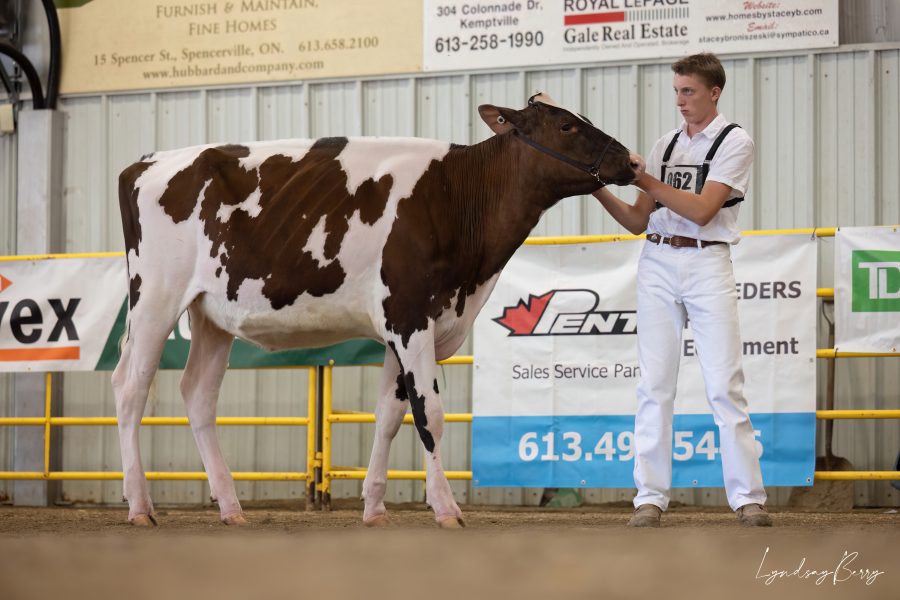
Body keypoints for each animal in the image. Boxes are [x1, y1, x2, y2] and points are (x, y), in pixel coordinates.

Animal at [113, 93, 637, 528]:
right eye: (566, 125)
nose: (631, 160)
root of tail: (146, 163)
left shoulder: (400, 329)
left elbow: (389, 415)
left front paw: (375, 507)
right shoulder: (410, 316)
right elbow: (430, 415)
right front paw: (446, 509)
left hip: (211, 314)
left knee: (198, 395)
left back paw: (231, 507)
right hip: (155, 297)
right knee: (131, 388)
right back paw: (139, 506)